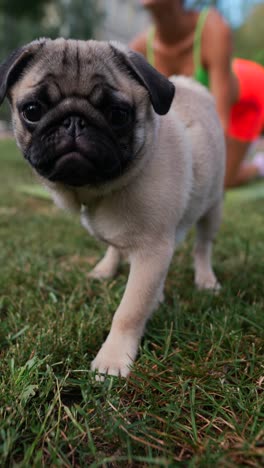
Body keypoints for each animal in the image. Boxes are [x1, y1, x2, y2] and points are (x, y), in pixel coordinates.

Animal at [0, 38, 226, 378]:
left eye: (118, 114)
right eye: (32, 110)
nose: (74, 121)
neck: (98, 189)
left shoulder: (152, 251)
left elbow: (129, 310)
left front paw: (113, 359)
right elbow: (120, 255)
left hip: (211, 207)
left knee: (203, 245)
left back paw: (205, 279)